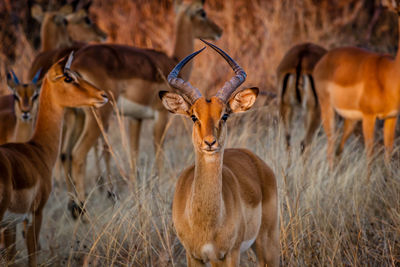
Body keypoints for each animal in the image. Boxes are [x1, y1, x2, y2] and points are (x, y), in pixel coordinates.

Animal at [0, 52, 108, 267]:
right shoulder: (35, 213)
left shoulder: (10, 223)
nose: (103, 95)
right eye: (68, 78)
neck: (37, 149)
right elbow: (33, 256)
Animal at [59, 0, 222, 219]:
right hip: (99, 115)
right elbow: (158, 149)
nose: (219, 30)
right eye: (202, 12)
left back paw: (73, 208)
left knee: (65, 154)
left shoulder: (136, 119)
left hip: (76, 116)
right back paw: (83, 211)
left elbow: (134, 155)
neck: (172, 61)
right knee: (77, 154)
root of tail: (74, 65)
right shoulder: (161, 116)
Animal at [161, 40, 280, 266]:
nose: (210, 142)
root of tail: (255, 159)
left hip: (266, 242)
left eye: (224, 115)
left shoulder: (229, 254)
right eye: (194, 116)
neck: (206, 222)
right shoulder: (193, 256)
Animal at [314, 0, 400, 168]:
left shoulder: (391, 117)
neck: (390, 76)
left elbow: (388, 154)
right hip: (327, 107)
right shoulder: (369, 116)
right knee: (331, 144)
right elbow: (370, 154)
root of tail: (324, 58)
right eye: (398, 11)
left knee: (338, 148)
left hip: (351, 120)